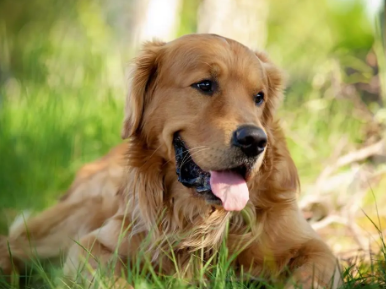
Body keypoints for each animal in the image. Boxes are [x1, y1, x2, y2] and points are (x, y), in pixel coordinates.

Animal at [0, 33, 340, 286]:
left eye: (259, 97)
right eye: (205, 85)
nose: (255, 141)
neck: (200, 218)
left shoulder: (316, 248)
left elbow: (311, 272)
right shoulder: (93, 245)